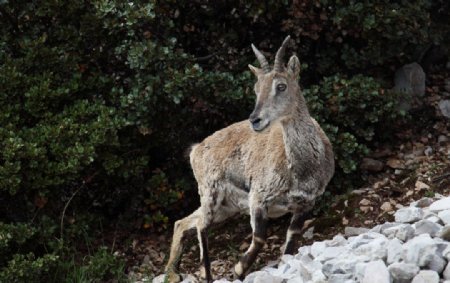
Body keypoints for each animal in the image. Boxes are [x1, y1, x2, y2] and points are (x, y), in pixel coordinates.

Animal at [164, 36, 334, 282]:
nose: (255, 119)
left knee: (184, 222)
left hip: (226, 207)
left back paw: (172, 271)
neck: (302, 168)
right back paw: (205, 273)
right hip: (210, 191)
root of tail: (196, 150)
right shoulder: (258, 197)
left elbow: (291, 241)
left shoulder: (306, 203)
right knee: (201, 226)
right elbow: (260, 237)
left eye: (281, 86)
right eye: (256, 88)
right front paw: (239, 268)